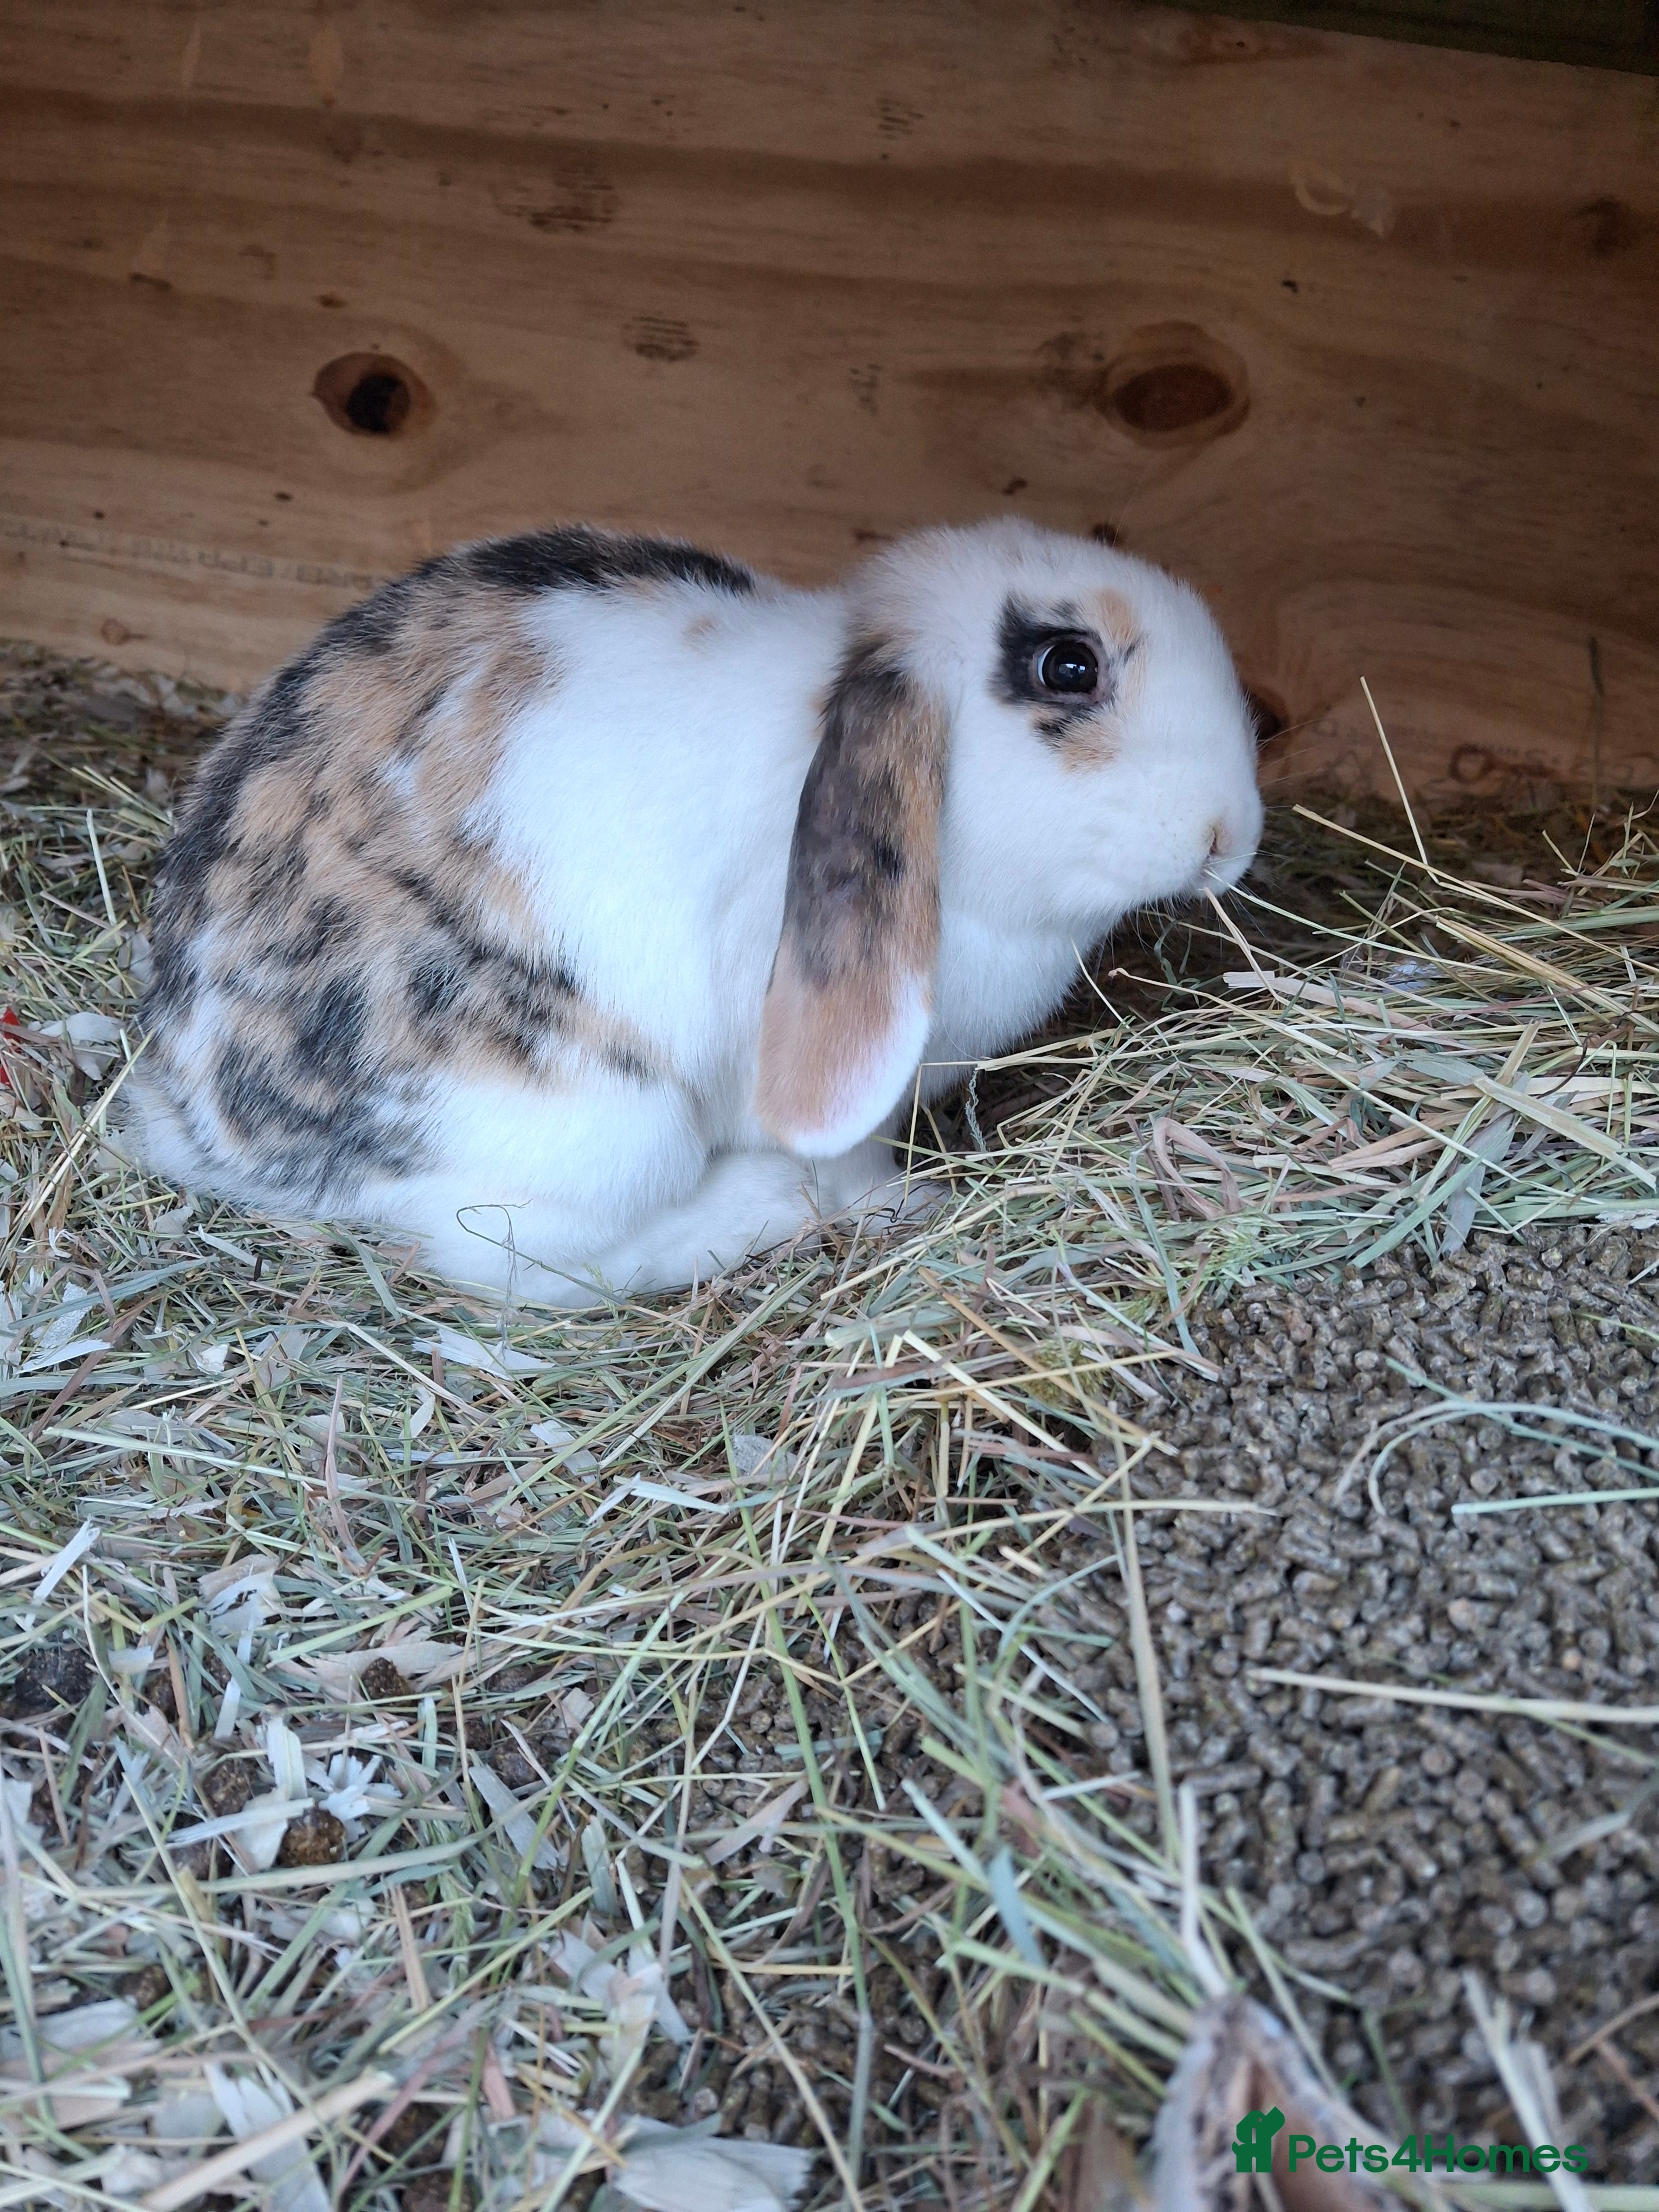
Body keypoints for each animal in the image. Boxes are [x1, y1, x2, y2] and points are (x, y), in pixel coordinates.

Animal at [123, 517, 1262, 1306]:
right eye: (1067, 665)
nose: (1230, 835)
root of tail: (199, 1125)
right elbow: (847, 1154)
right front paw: (900, 1206)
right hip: (597, 1120)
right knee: (514, 1256)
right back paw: (759, 1209)